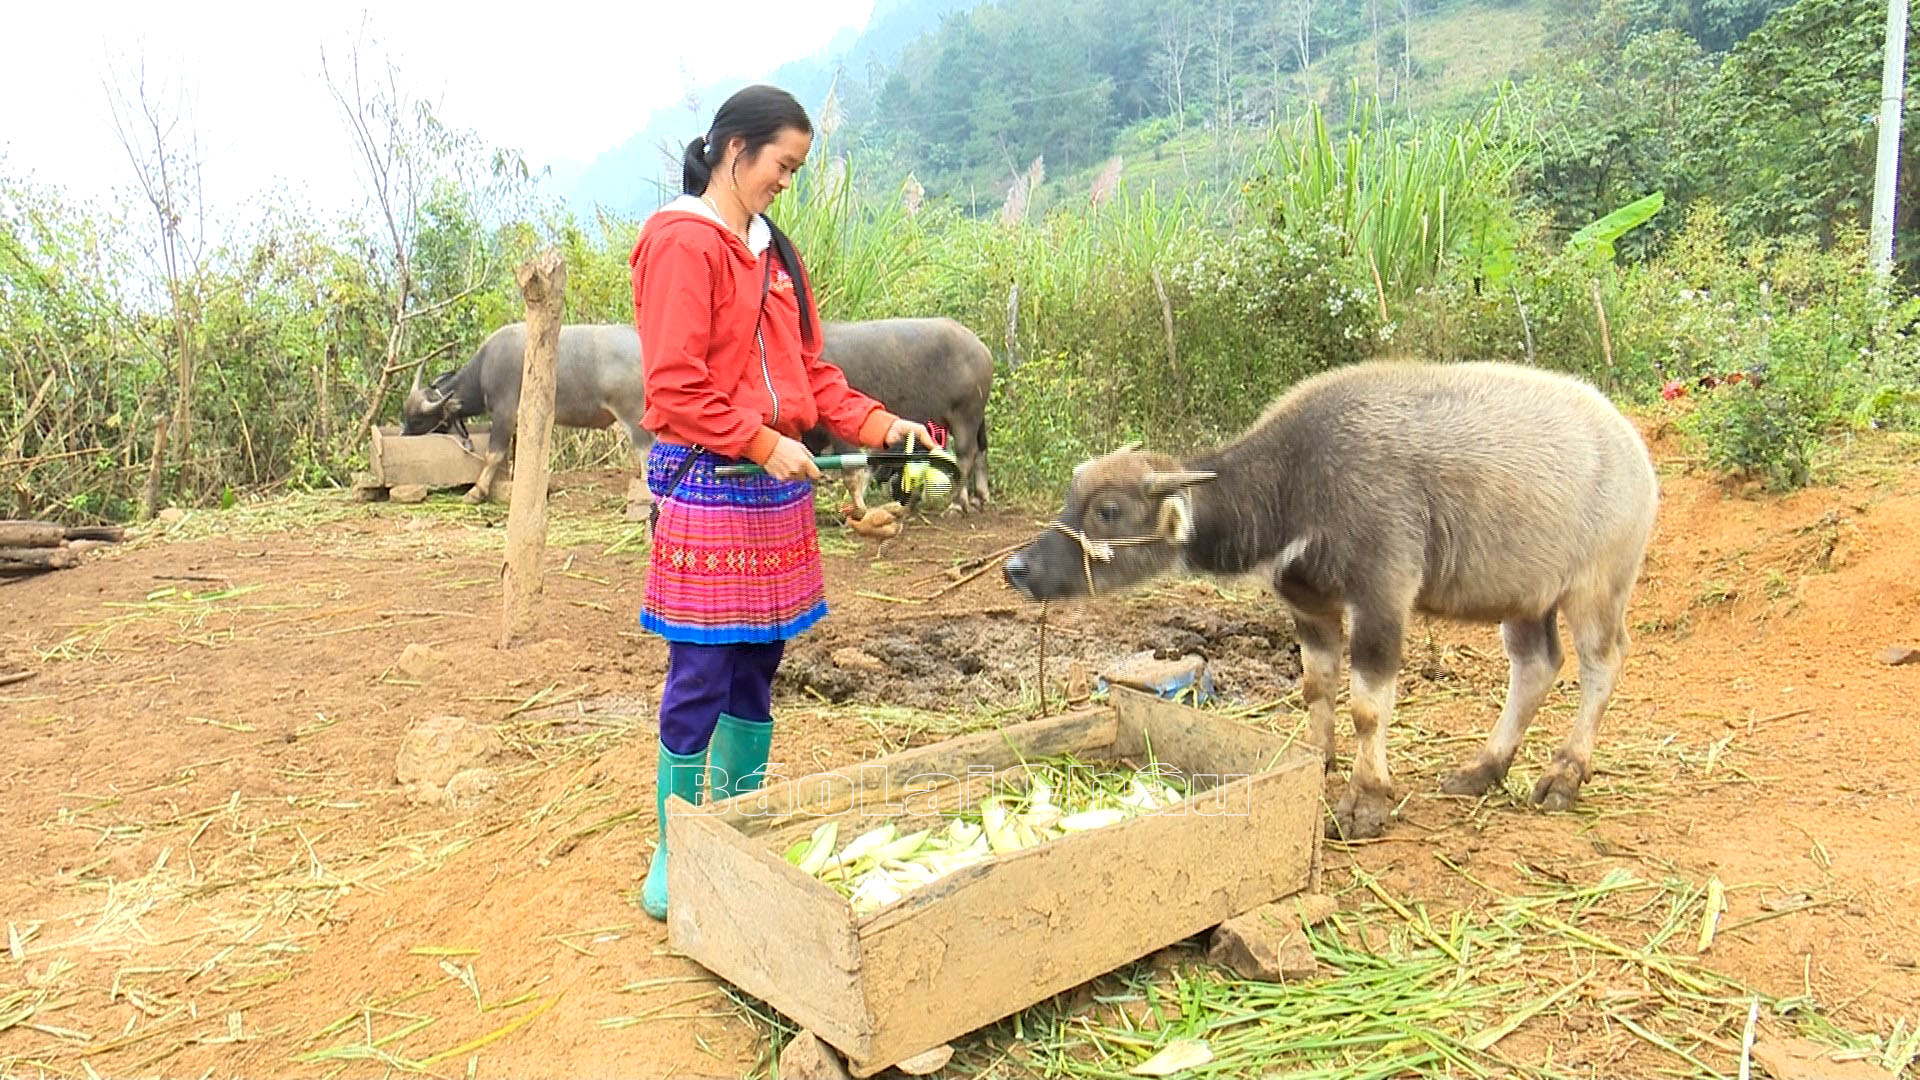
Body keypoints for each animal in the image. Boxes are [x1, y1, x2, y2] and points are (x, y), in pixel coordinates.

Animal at [1006, 357, 1666, 837]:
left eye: (1107, 511)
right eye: (1070, 498)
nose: (1017, 567)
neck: (1294, 486)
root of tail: (1632, 450)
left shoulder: (1381, 602)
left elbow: (1367, 708)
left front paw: (1365, 802)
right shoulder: (1309, 608)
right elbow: (1316, 688)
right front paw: (1316, 761)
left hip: (1597, 588)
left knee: (1601, 665)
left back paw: (1564, 776)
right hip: (1526, 598)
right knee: (1535, 666)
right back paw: (1483, 768)